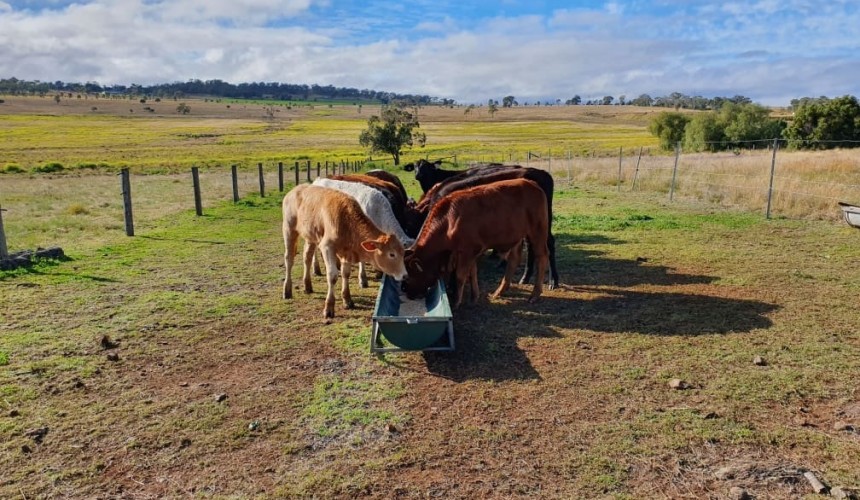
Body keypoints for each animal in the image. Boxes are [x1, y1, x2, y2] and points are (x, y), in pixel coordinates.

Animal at [282, 184, 408, 319]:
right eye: (392, 254)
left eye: (403, 252)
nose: (405, 275)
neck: (346, 221)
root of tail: (296, 188)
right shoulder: (327, 247)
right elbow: (332, 276)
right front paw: (329, 307)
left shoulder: (347, 252)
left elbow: (345, 273)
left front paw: (347, 300)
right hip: (289, 230)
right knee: (289, 259)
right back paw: (287, 290)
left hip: (310, 236)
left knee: (307, 257)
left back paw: (307, 285)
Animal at [407, 165, 561, 290]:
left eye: (410, 224)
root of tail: (543, 173)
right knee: (531, 246)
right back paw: (525, 276)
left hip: (542, 222)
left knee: (548, 243)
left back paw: (553, 280)